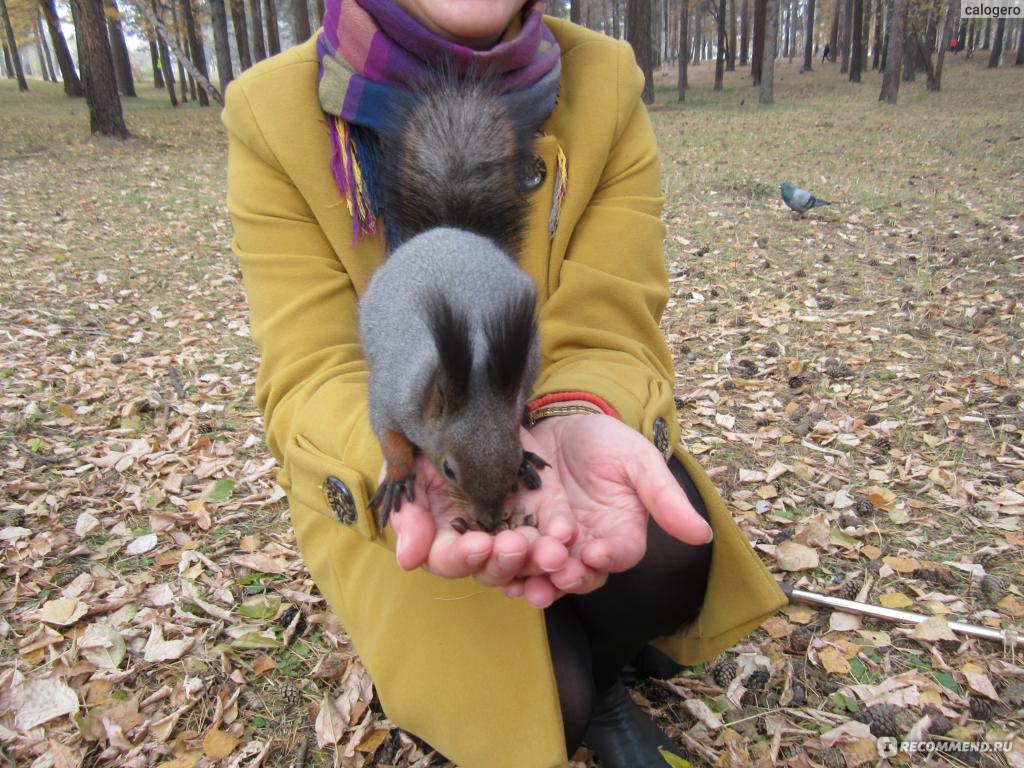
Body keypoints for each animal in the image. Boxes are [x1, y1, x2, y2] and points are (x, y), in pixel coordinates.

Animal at [360, 72, 552, 532]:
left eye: (511, 458)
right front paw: (399, 473)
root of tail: (452, 231)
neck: (477, 363)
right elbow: (388, 436)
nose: (489, 522)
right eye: (448, 469)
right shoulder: (390, 396)